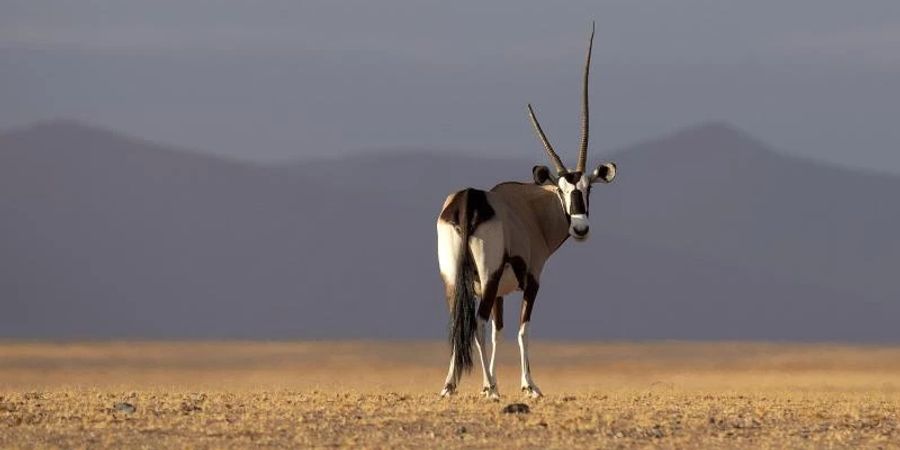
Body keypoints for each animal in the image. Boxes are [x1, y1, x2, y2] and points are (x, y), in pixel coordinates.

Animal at [436, 22, 620, 400]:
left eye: (587, 188)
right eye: (562, 190)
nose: (580, 228)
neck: (531, 209)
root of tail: (468, 200)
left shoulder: (500, 292)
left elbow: (499, 333)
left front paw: (492, 382)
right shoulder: (532, 279)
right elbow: (521, 330)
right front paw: (527, 385)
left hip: (453, 277)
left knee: (460, 321)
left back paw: (449, 386)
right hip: (488, 274)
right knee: (476, 322)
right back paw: (489, 388)